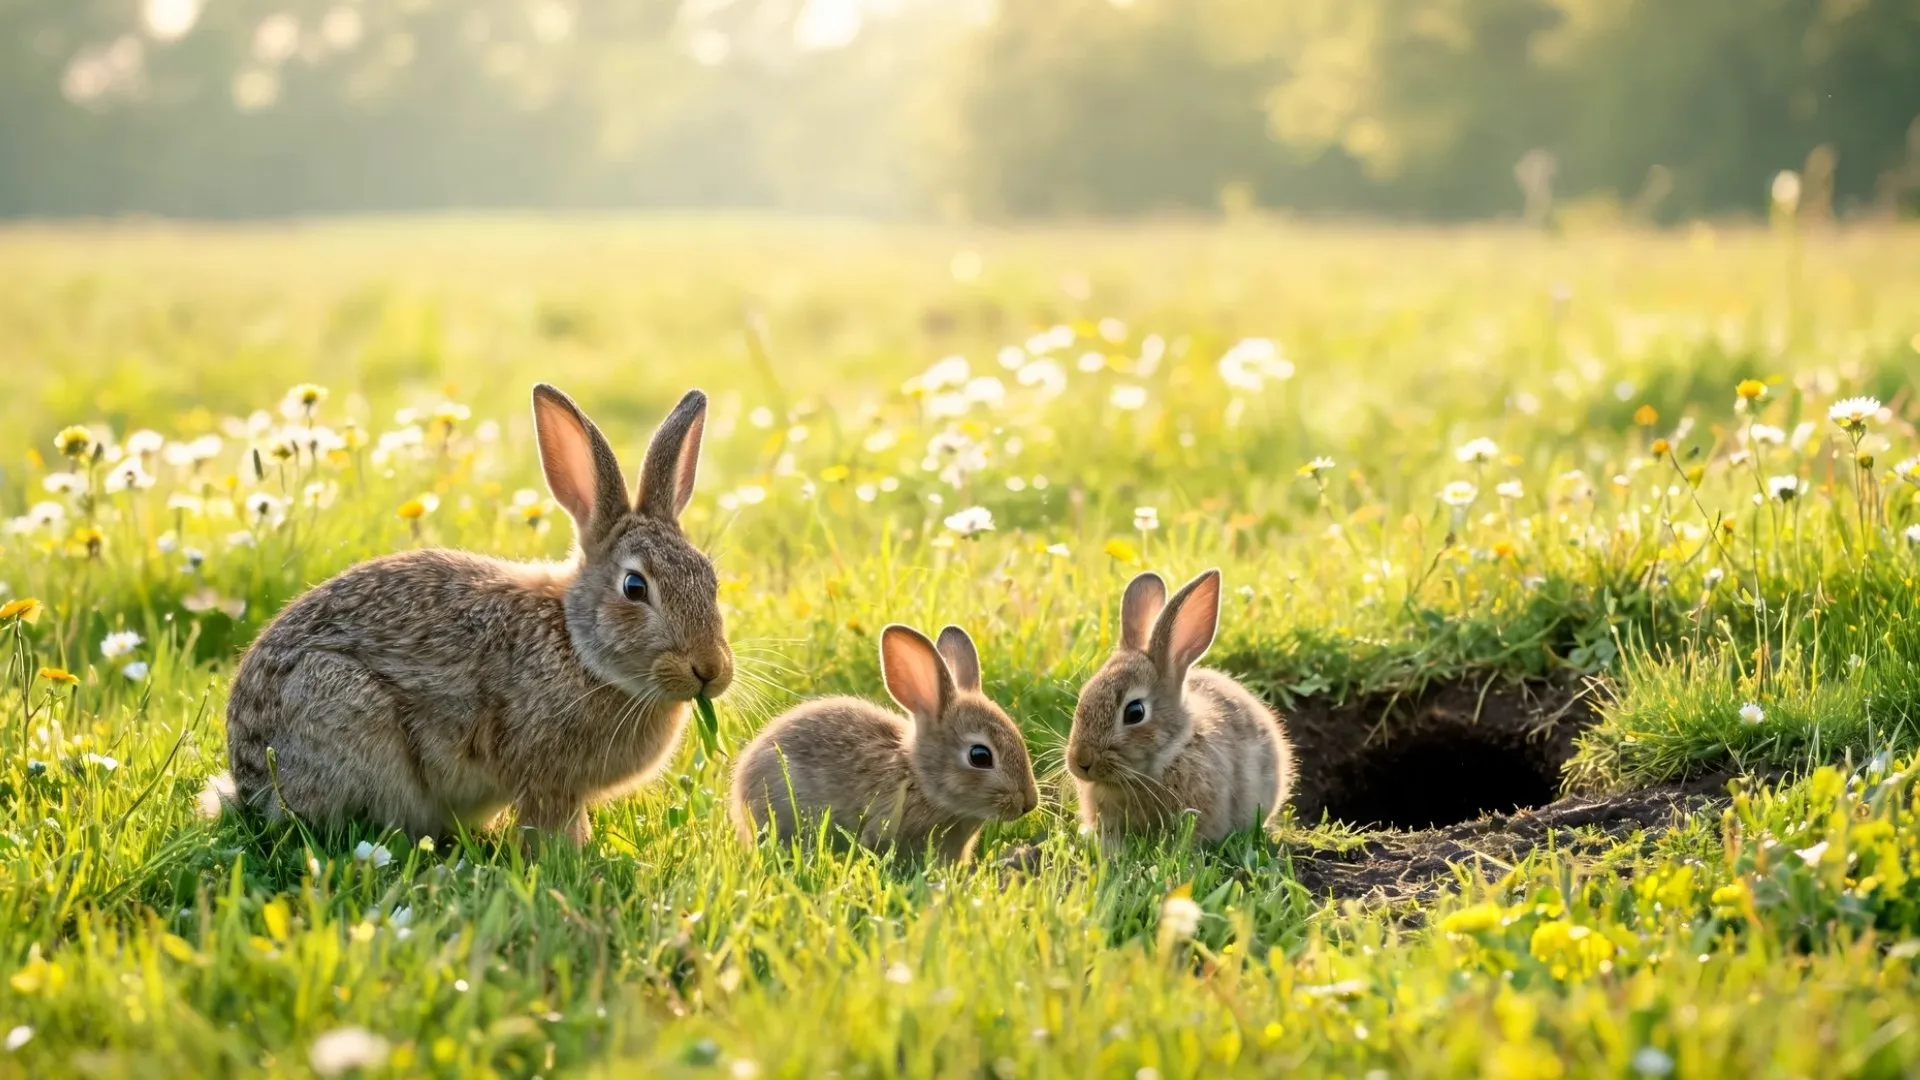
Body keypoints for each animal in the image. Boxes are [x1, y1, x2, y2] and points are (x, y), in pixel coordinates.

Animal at [218, 383, 733, 845]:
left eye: (711, 580)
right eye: (634, 587)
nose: (710, 670)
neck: (577, 647)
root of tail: (246, 783)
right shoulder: (546, 779)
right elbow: (551, 827)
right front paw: (567, 860)